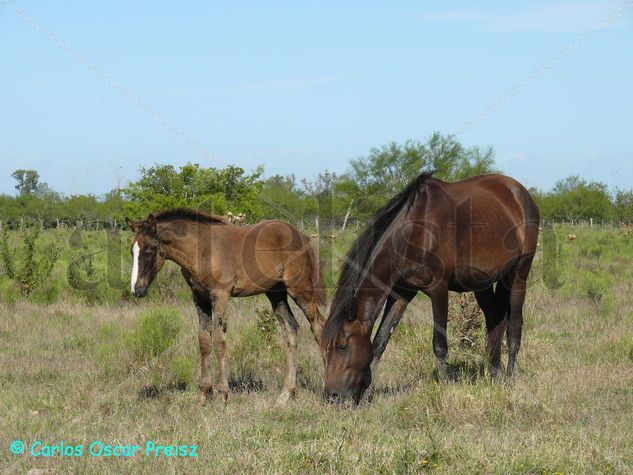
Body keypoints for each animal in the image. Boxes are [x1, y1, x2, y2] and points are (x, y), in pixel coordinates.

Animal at [320, 173, 540, 404]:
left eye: (343, 346)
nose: (331, 396)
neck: (414, 231)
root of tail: (519, 192)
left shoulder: (439, 289)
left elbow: (439, 344)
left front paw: (444, 387)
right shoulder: (401, 294)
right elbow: (380, 341)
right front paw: (366, 396)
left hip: (518, 276)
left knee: (514, 328)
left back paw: (509, 378)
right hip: (483, 284)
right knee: (494, 320)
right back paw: (494, 373)